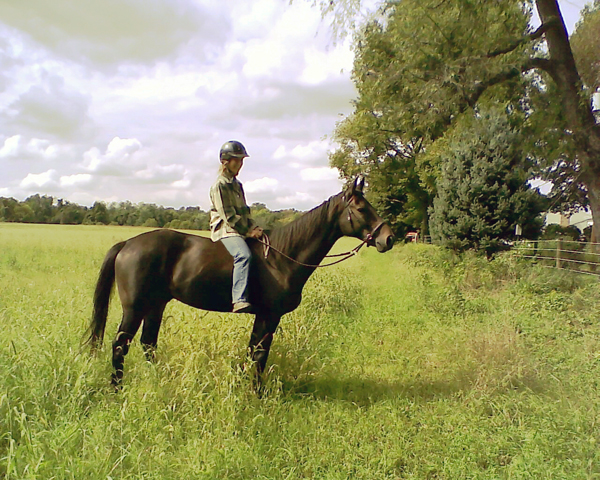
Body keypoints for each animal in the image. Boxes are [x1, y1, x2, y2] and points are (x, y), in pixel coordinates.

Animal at [85, 177, 394, 386]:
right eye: (361, 208)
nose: (388, 238)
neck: (281, 257)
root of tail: (128, 244)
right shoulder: (269, 315)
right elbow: (260, 355)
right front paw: (257, 393)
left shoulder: (264, 317)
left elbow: (253, 353)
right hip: (134, 308)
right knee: (120, 346)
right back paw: (117, 389)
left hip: (155, 305)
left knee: (148, 344)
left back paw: (158, 381)